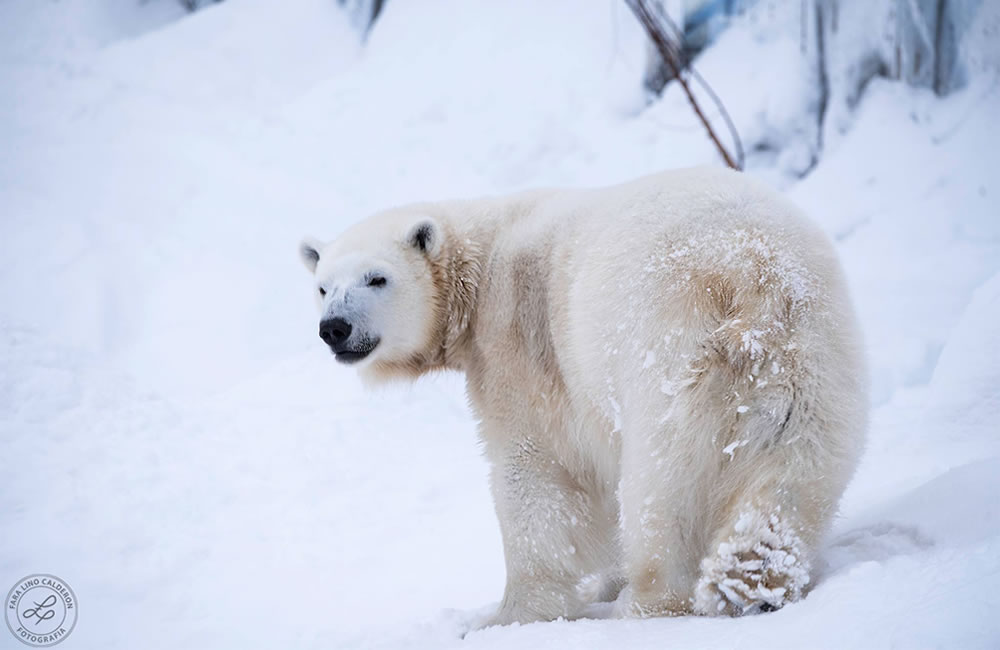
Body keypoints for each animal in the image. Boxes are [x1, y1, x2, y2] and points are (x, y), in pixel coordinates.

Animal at [298, 166, 867, 626]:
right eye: (323, 287)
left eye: (377, 278)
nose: (334, 329)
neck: (482, 265)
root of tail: (752, 281)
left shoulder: (521, 345)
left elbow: (536, 478)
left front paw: (509, 616)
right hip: (810, 360)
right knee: (794, 472)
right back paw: (753, 581)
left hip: (668, 357)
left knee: (659, 491)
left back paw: (647, 601)